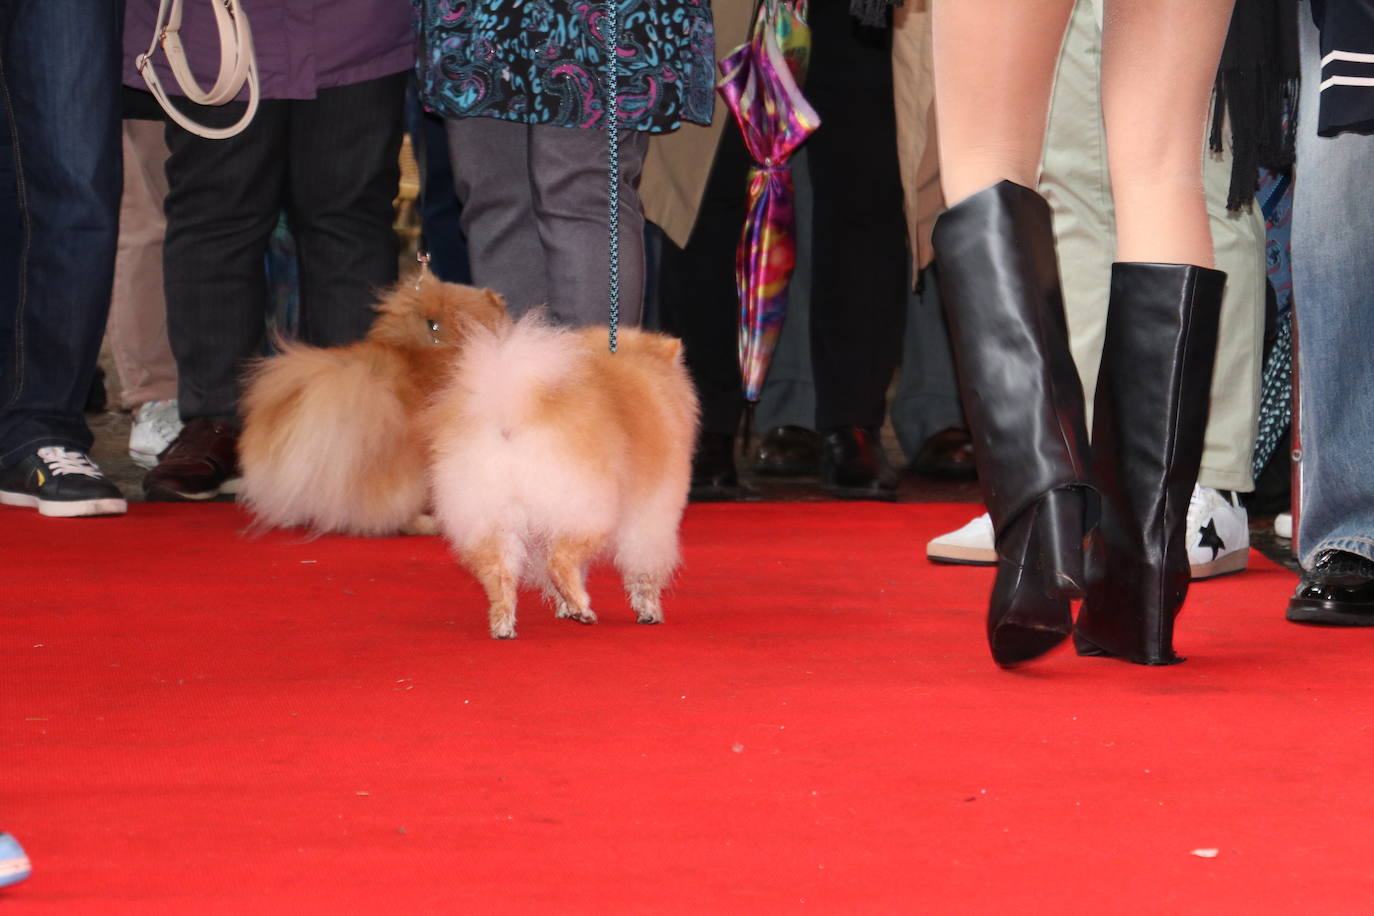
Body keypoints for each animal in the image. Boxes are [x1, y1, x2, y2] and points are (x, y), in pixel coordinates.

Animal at [425, 313, 697, 637]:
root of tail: (509, 414)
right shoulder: (652, 517)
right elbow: (643, 573)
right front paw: (649, 612)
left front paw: (564, 608)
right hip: (587, 510)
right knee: (560, 561)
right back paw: (583, 608)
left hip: (490, 518)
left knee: (501, 575)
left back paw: (504, 626)